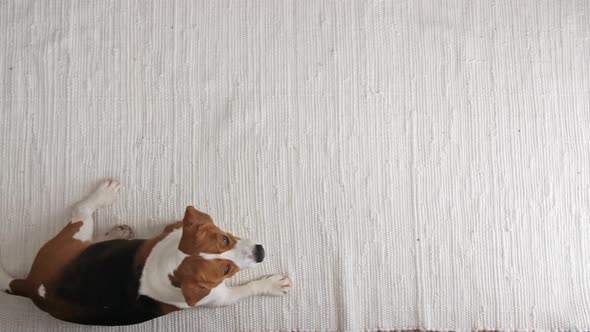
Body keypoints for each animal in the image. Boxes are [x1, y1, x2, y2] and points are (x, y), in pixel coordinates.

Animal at [0, 180, 294, 326]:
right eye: (226, 270)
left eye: (225, 238)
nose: (260, 252)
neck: (170, 267)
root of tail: (29, 285)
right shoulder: (218, 297)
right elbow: (248, 289)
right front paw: (271, 284)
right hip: (71, 238)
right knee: (80, 209)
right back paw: (103, 196)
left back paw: (114, 234)